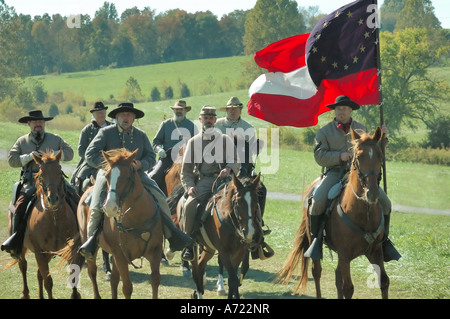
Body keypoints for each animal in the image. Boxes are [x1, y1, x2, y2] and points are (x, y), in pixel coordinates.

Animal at [179, 172, 264, 300]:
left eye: (256, 202)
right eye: (238, 203)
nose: (249, 233)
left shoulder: (239, 252)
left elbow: (232, 279)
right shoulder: (224, 252)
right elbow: (233, 279)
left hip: (209, 248)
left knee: (201, 264)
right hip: (194, 246)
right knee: (195, 269)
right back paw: (198, 293)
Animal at [276, 127, 388, 300]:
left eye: (379, 156)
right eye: (359, 157)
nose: (372, 193)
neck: (364, 214)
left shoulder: (375, 251)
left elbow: (384, 282)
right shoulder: (344, 254)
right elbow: (348, 287)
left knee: (337, 276)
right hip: (314, 241)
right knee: (317, 271)